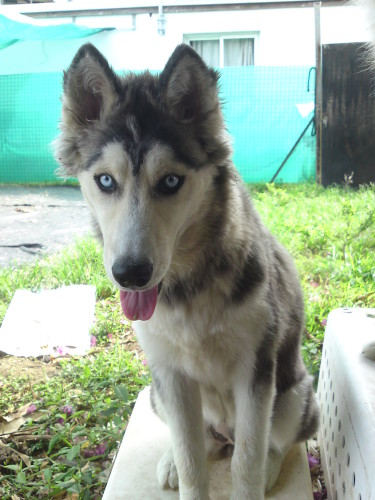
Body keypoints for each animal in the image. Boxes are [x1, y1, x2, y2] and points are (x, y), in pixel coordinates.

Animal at [55, 45, 320, 498]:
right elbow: (192, 459)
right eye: (105, 181)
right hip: (156, 394)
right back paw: (172, 463)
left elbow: (246, 462)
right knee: (199, 443)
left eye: (170, 182)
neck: (188, 288)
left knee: (272, 443)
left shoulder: (256, 372)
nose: (131, 273)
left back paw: (268, 467)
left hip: (295, 394)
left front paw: (252, 476)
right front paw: (184, 470)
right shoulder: (172, 377)